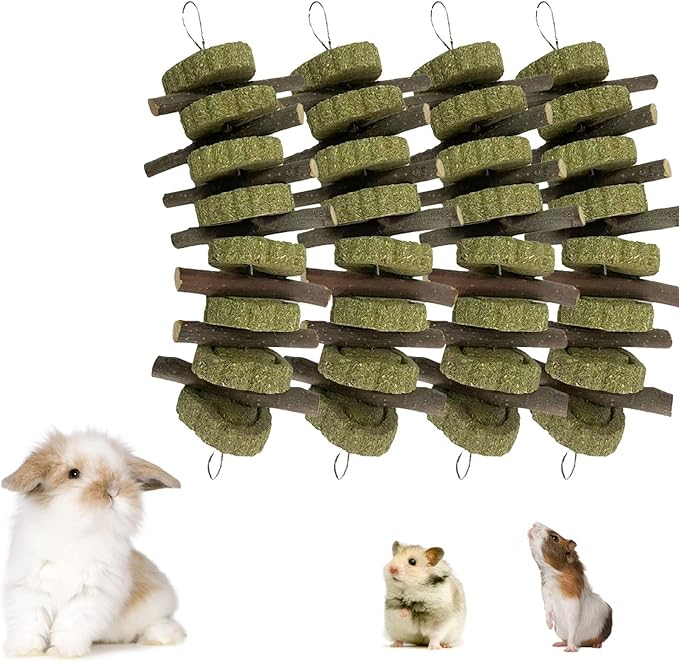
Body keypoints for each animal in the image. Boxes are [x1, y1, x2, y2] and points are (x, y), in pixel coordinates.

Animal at [2, 429, 186, 657]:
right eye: (73, 473)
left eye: (123, 474)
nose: (114, 490)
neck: (77, 532)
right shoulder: (31, 589)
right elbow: (30, 622)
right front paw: (26, 651)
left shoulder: (89, 596)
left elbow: (70, 624)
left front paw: (61, 652)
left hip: (156, 604)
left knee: (165, 625)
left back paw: (157, 638)